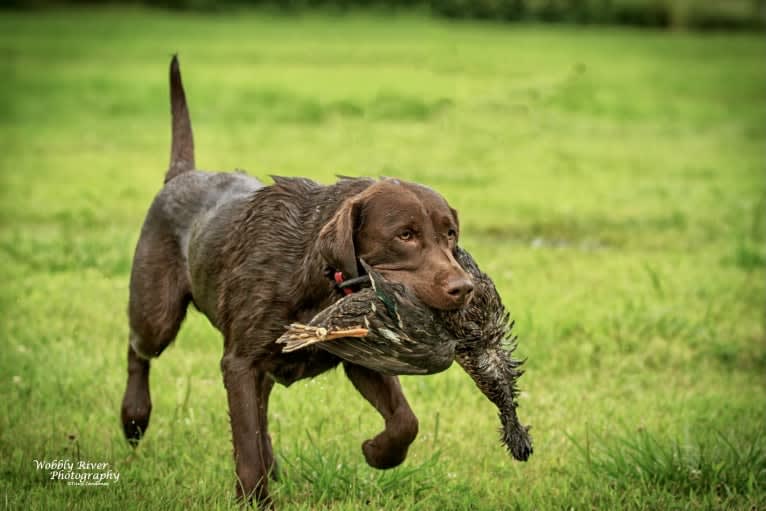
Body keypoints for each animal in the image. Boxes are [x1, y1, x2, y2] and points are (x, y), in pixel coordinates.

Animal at [120, 57, 474, 508]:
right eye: (405, 235)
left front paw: (377, 453)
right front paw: (255, 500)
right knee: (138, 350)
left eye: (450, 234)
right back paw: (133, 417)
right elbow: (246, 442)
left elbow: (404, 421)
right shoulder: (239, 362)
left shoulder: (360, 359)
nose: (465, 288)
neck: (319, 277)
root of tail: (182, 175)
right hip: (157, 315)